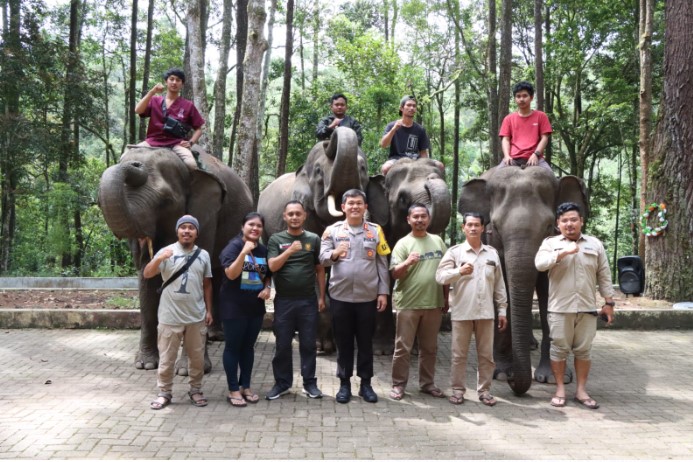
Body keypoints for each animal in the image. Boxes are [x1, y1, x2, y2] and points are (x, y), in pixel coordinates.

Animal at [100, 147, 254, 372]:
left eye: (166, 201)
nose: (135, 163)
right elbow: (147, 274)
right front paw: (145, 364)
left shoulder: (207, 214)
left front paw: (190, 369)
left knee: (217, 274)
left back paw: (216, 336)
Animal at [456, 164, 588, 396]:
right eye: (495, 227)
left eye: (549, 226)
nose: (512, 379)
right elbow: (503, 291)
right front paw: (500, 373)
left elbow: (547, 292)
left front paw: (552, 378)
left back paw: (530, 345)